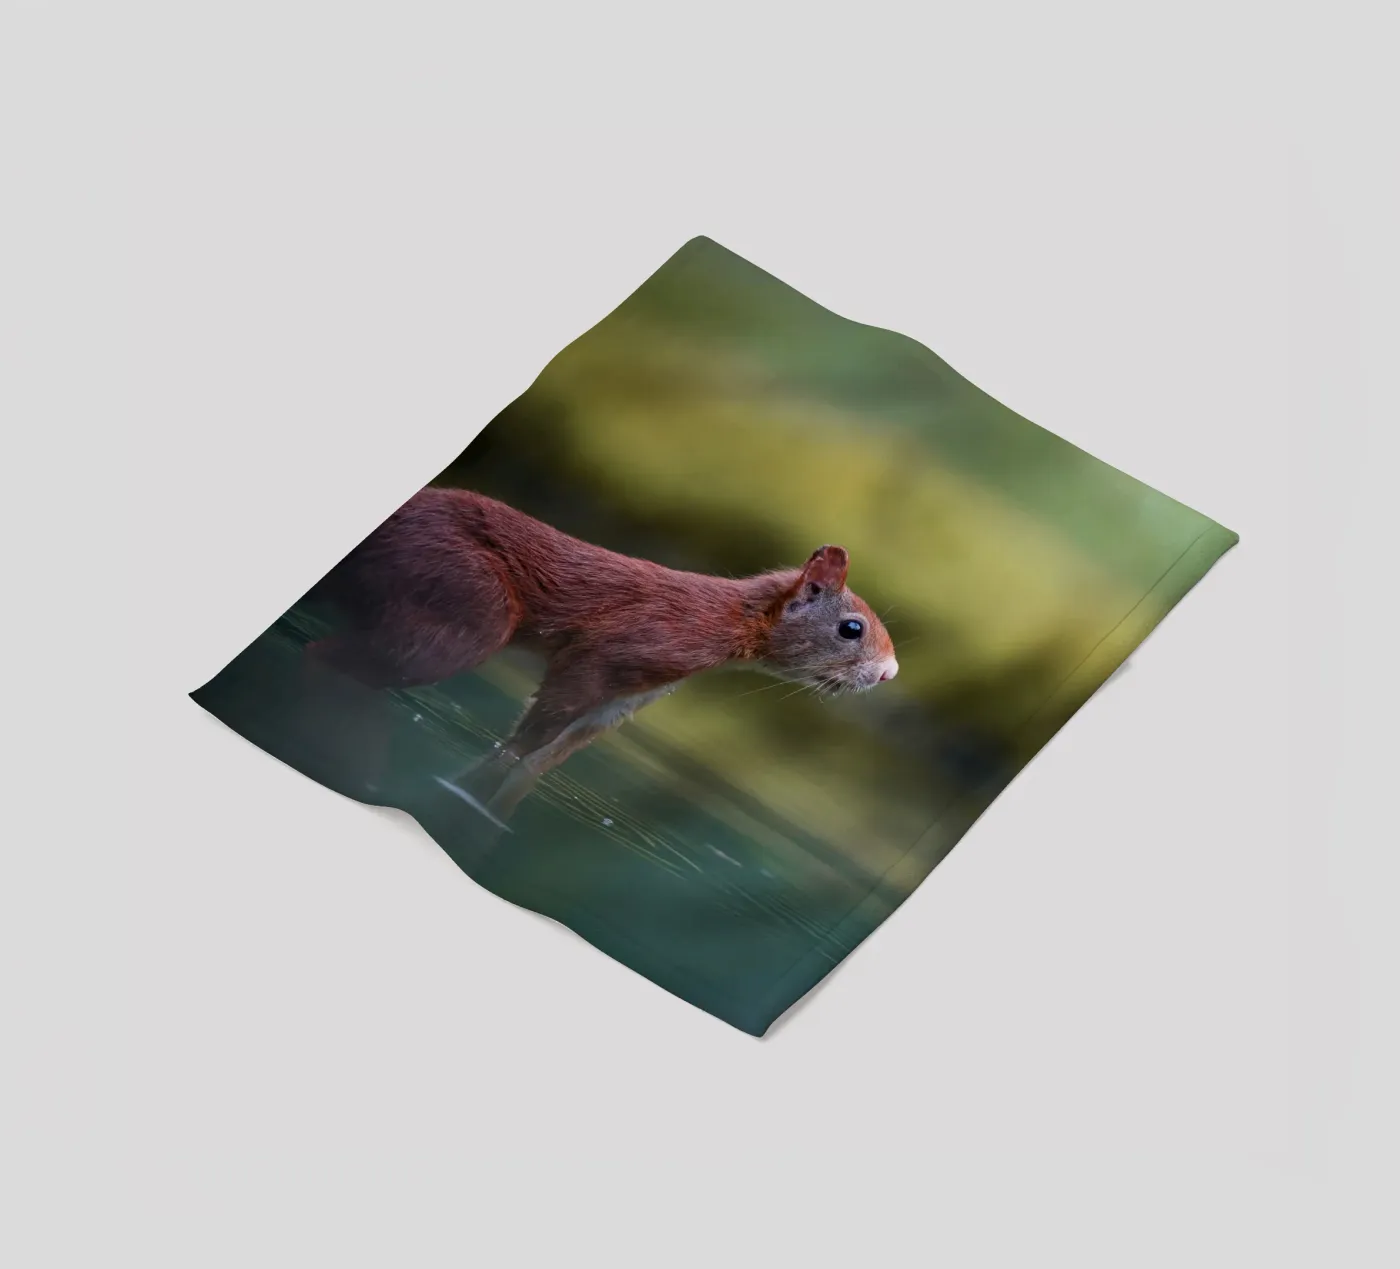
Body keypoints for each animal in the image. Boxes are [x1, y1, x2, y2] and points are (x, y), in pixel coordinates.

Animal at [305, 487, 898, 822]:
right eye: (852, 628)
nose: (890, 672)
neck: (718, 620)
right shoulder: (610, 653)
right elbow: (534, 731)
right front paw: (473, 791)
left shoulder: (628, 698)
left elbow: (545, 758)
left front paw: (503, 800)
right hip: (466, 609)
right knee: (331, 656)